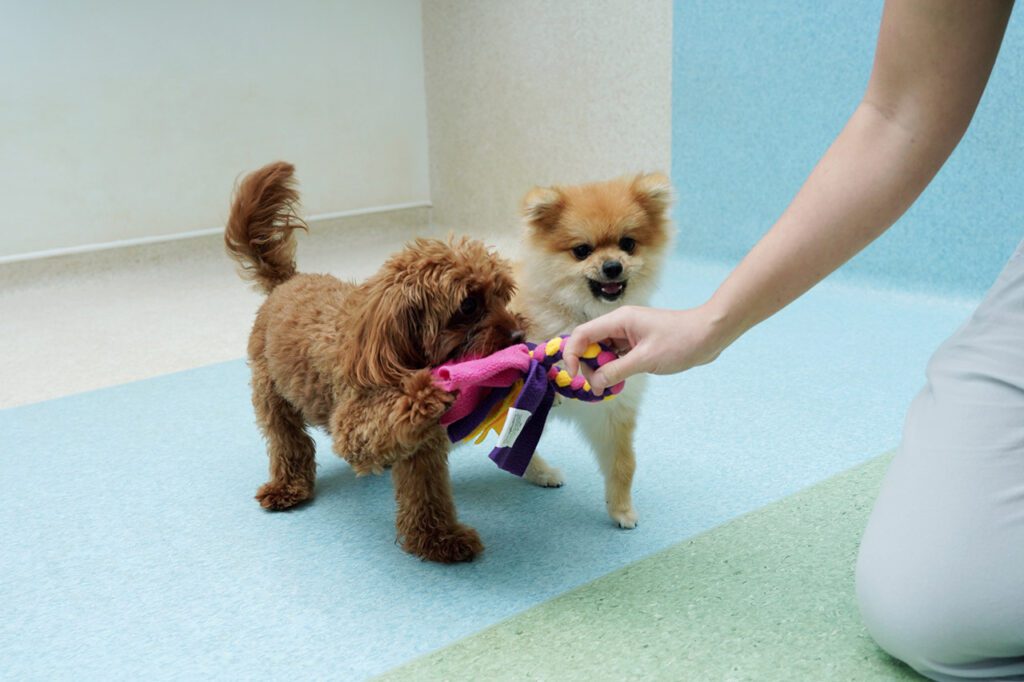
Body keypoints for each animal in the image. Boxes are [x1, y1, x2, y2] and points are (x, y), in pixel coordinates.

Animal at [227, 161, 524, 561]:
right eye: (468, 305)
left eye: (503, 296)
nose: (519, 336)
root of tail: (286, 281)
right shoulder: (353, 422)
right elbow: (382, 420)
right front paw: (425, 393)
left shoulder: (424, 446)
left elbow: (426, 492)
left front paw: (438, 539)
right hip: (270, 391)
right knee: (288, 441)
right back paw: (288, 487)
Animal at [509, 171, 671, 524]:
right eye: (582, 250)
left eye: (628, 244)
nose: (612, 266)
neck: (586, 315)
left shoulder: (613, 412)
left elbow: (624, 464)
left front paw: (620, 509)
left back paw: (541, 473)